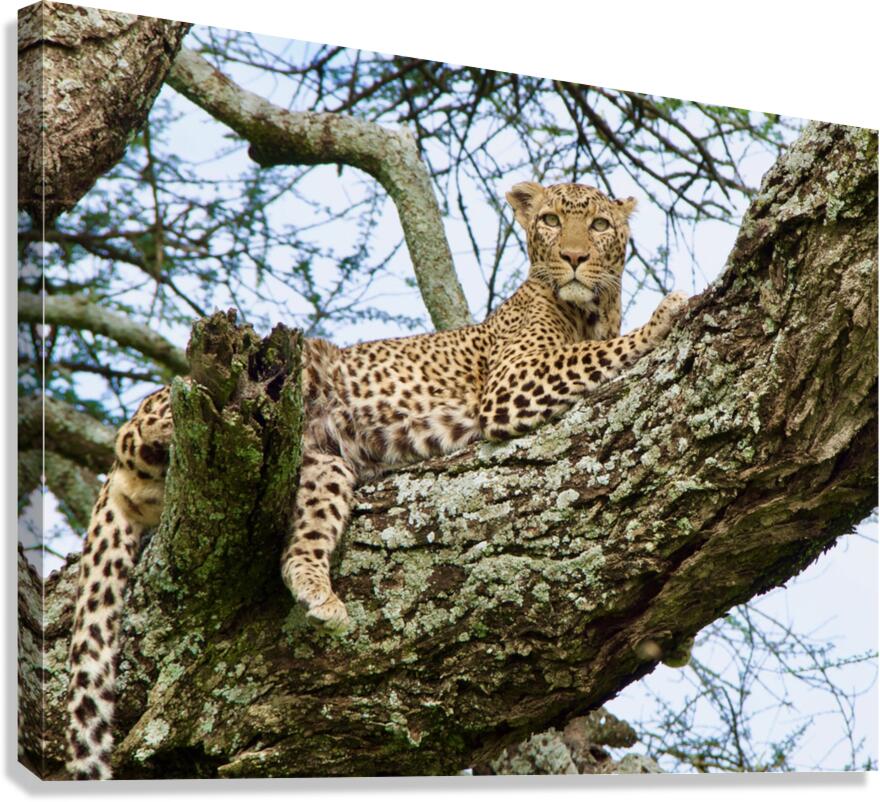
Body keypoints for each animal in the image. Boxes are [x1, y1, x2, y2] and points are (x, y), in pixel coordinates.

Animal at [65, 181, 688, 779]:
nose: (575, 257)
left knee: (298, 547)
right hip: (250, 388)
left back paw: (319, 596)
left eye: (600, 224)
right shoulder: (515, 384)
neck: (592, 311)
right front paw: (670, 311)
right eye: (552, 221)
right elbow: (598, 354)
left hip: (324, 466)